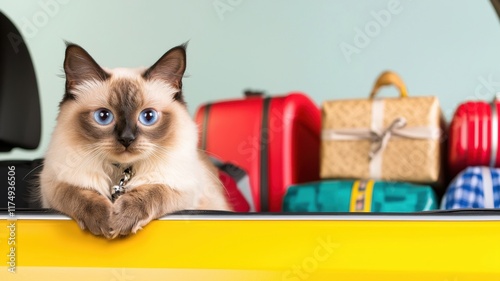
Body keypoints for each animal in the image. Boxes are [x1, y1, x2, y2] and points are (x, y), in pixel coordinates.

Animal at [38, 42, 230, 237]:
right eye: (103, 116)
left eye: (148, 116)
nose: (126, 139)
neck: (120, 173)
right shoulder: (53, 184)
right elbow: (79, 193)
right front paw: (105, 220)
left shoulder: (183, 189)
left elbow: (153, 191)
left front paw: (121, 219)